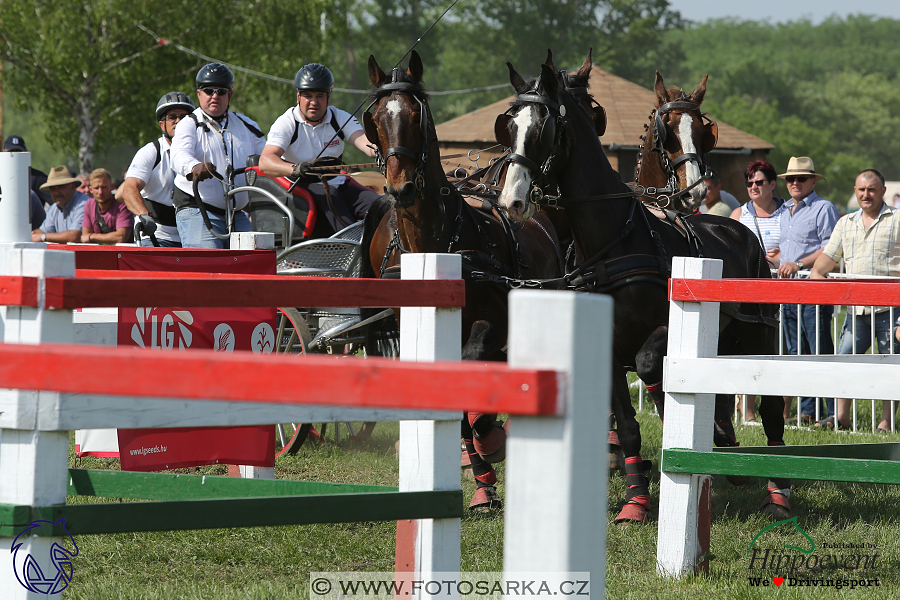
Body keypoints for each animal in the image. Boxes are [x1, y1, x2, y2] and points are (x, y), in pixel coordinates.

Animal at [496, 58, 792, 524]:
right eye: (508, 126)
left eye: (543, 129)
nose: (511, 200)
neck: (613, 238)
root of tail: (743, 230)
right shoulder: (609, 347)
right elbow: (629, 426)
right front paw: (635, 501)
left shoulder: (663, 332)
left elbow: (651, 366)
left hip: (758, 336)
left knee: (771, 410)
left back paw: (776, 493)